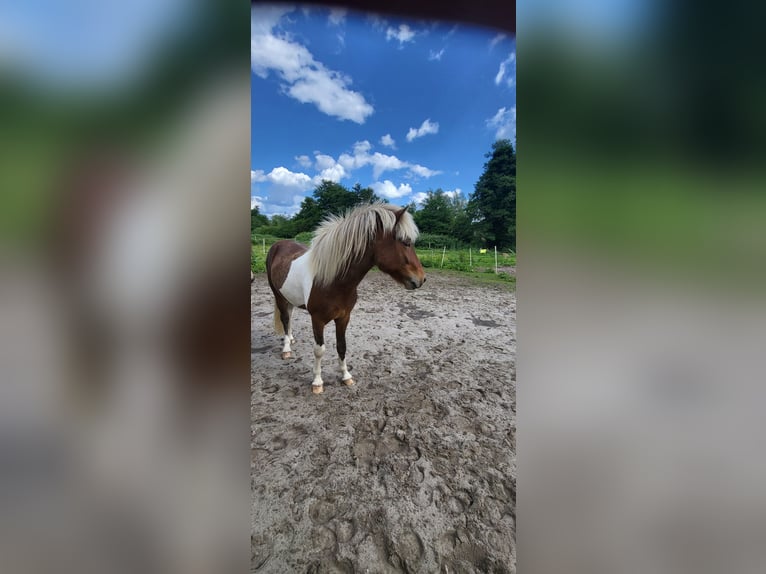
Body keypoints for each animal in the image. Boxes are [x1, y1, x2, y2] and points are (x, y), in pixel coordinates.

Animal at [265, 202, 426, 394]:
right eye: (405, 242)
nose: (421, 279)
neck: (333, 281)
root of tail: (278, 244)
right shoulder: (317, 320)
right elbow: (319, 350)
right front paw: (317, 382)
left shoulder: (344, 317)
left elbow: (342, 346)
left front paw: (346, 376)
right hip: (278, 295)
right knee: (285, 318)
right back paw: (286, 349)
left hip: (288, 297)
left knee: (289, 318)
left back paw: (290, 339)